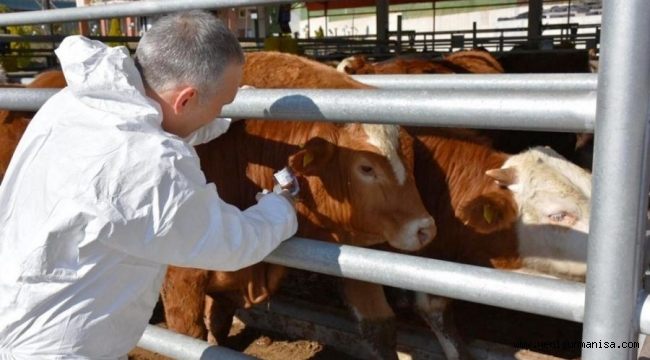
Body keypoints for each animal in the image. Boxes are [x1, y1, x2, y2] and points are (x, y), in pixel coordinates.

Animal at [161, 50, 436, 358]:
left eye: (411, 159)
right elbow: (187, 335)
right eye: (366, 168)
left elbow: (380, 327)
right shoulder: (180, 276)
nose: (425, 228)